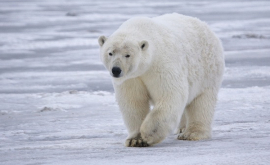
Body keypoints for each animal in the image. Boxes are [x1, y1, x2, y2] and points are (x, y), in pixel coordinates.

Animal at [98, 13, 225, 147]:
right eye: (110, 53)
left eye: (127, 55)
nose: (116, 70)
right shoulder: (131, 78)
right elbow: (134, 102)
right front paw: (135, 139)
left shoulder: (161, 65)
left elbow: (170, 95)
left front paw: (148, 134)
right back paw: (181, 128)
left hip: (207, 71)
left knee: (201, 102)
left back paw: (191, 133)